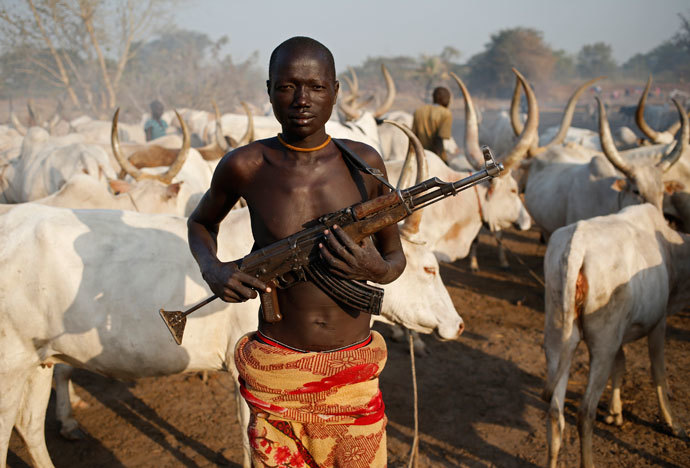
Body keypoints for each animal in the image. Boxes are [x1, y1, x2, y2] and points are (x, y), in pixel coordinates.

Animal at [540, 204, 684, 468]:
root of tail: (576, 245)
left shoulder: (620, 332)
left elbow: (622, 362)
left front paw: (615, 413)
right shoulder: (658, 320)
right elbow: (657, 369)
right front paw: (674, 424)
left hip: (558, 336)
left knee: (555, 413)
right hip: (602, 343)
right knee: (585, 412)